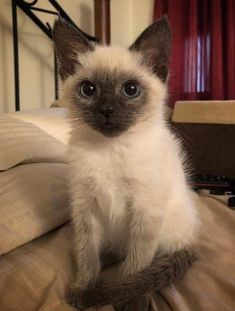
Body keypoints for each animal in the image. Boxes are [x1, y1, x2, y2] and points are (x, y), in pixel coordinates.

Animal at [52, 17, 198, 311]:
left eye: (131, 90)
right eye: (88, 90)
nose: (107, 110)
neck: (110, 150)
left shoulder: (145, 212)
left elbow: (136, 263)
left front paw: (130, 301)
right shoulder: (85, 208)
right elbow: (86, 253)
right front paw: (84, 287)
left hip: (168, 232)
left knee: (151, 261)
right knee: (108, 252)